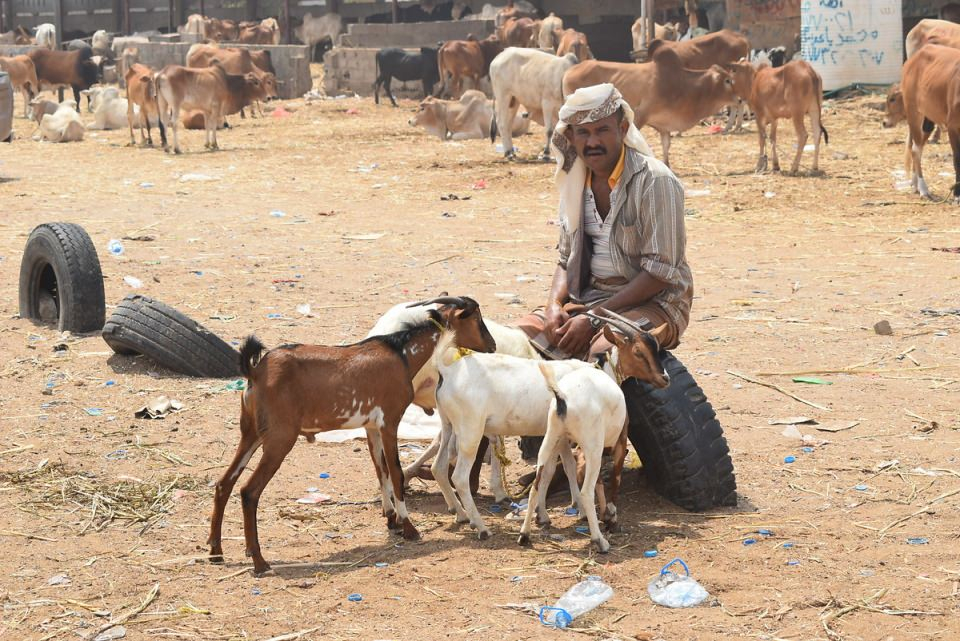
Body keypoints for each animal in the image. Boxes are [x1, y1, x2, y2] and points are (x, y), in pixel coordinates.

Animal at [564, 48, 744, 166]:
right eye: (727, 80)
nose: (740, 100)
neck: (682, 85)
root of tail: (570, 70)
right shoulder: (639, 115)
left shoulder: (664, 125)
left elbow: (666, 145)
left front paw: (667, 165)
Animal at [884, 44, 960, 200]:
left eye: (892, 99)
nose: (884, 122)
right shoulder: (953, 127)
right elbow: (957, 159)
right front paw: (957, 194)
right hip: (914, 115)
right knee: (915, 150)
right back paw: (923, 189)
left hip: (927, 121)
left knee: (917, 148)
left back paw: (915, 185)